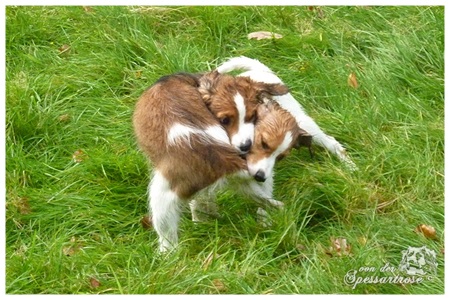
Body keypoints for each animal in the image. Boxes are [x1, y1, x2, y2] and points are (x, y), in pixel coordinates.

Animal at [132, 71, 312, 252]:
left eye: (252, 116)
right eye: (225, 120)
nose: (246, 146)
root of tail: (224, 157)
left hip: (162, 196)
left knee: (167, 238)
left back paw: (167, 255)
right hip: (245, 186)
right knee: (274, 204)